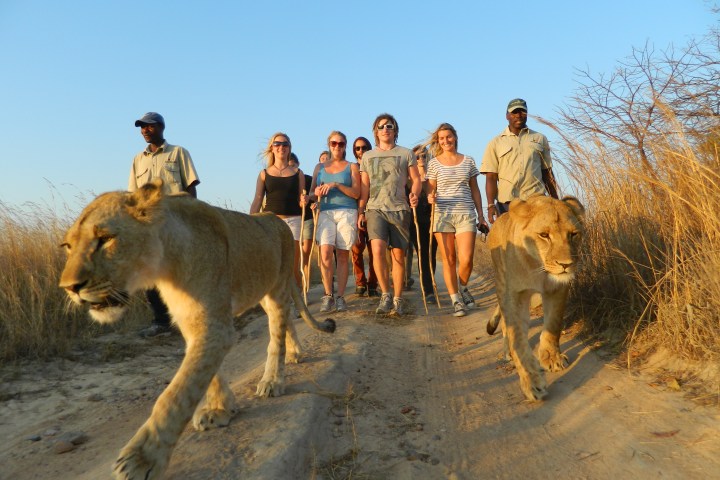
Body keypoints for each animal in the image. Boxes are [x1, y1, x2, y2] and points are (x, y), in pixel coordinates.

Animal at [58, 180, 334, 480]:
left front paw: (141, 458)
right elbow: (205, 375)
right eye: (68, 246)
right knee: (284, 321)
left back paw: (273, 380)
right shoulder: (191, 322)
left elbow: (177, 393)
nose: (69, 287)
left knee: (276, 332)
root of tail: (277, 219)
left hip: (278, 286)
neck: (166, 267)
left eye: (105, 238)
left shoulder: (216, 326)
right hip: (263, 290)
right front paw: (220, 409)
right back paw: (294, 353)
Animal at [484, 194, 584, 402]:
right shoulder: (515, 296)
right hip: (501, 283)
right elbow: (518, 341)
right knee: (505, 326)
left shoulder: (557, 289)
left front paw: (552, 358)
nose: (566, 265)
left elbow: (553, 324)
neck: (539, 269)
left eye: (573, 234)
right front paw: (532, 382)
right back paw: (507, 352)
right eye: (544, 235)